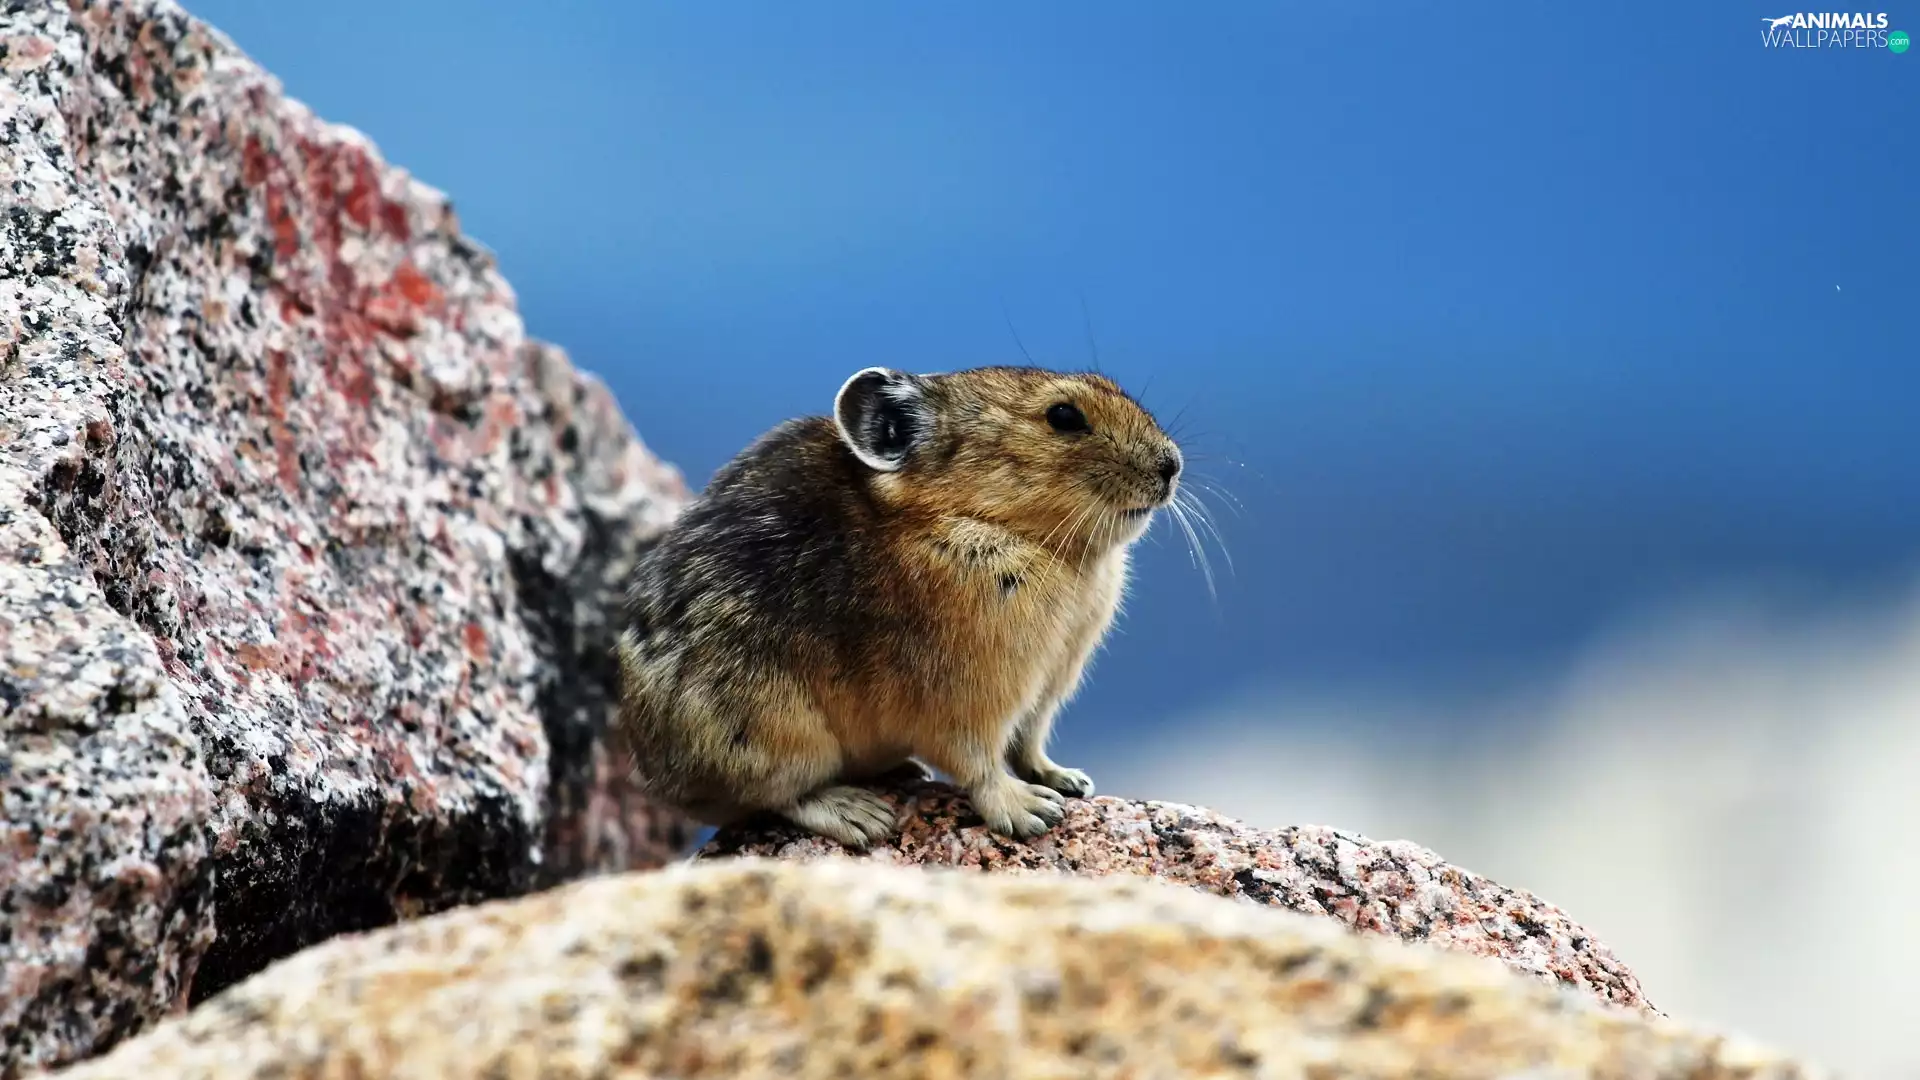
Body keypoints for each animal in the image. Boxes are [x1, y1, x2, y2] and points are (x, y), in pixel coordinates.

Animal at [614, 365, 1182, 847]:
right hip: (770, 728)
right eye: (1064, 415)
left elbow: (1028, 743)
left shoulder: (1043, 691)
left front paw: (1066, 780)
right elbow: (980, 763)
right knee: (778, 793)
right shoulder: (968, 696)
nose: (1171, 464)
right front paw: (1030, 810)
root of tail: (655, 771)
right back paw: (860, 814)